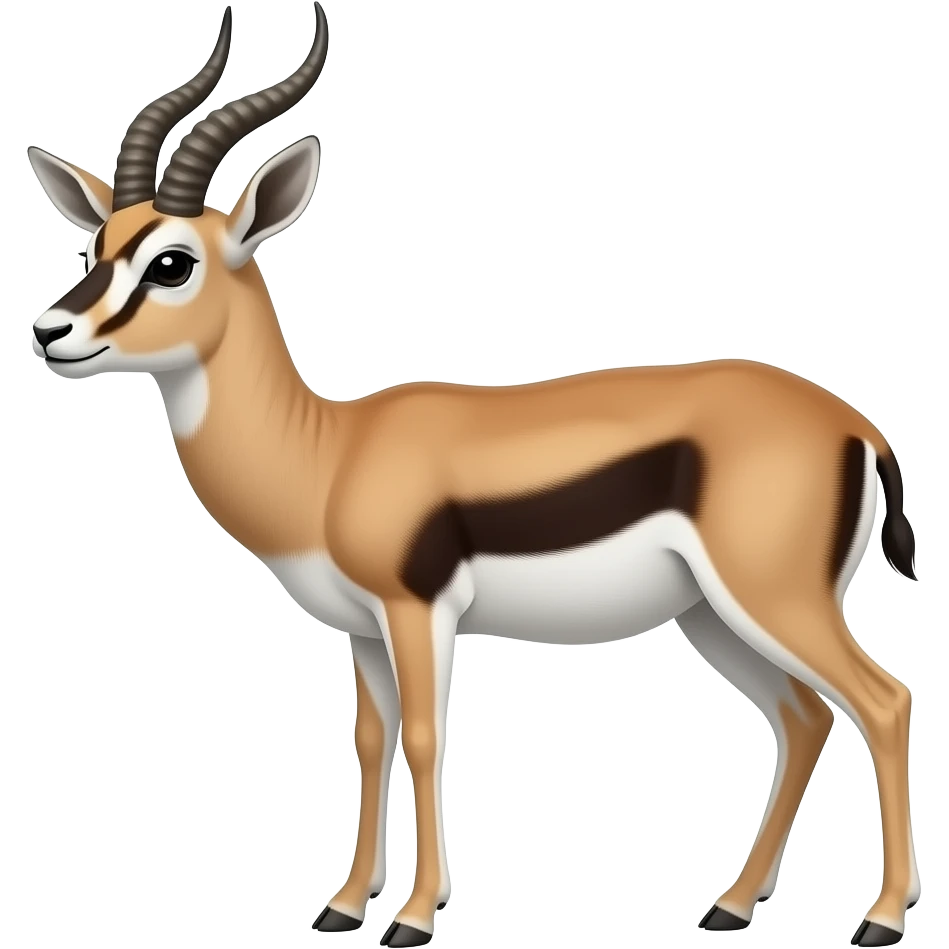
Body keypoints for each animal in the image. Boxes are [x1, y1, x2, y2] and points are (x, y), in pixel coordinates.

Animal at [27, 5, 920, 948]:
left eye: (171, 261)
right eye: (96, 244)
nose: (50, 331)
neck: (328, 455)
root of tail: (857, 424)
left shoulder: (418, 611)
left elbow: (425, 737)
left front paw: (415, 916)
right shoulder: (363, 631)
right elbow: (370, 740)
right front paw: (342, 906)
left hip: (774, 598)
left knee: (881, 700)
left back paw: (880, 917)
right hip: (711, 614)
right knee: (804, 715)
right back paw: (729, 905)